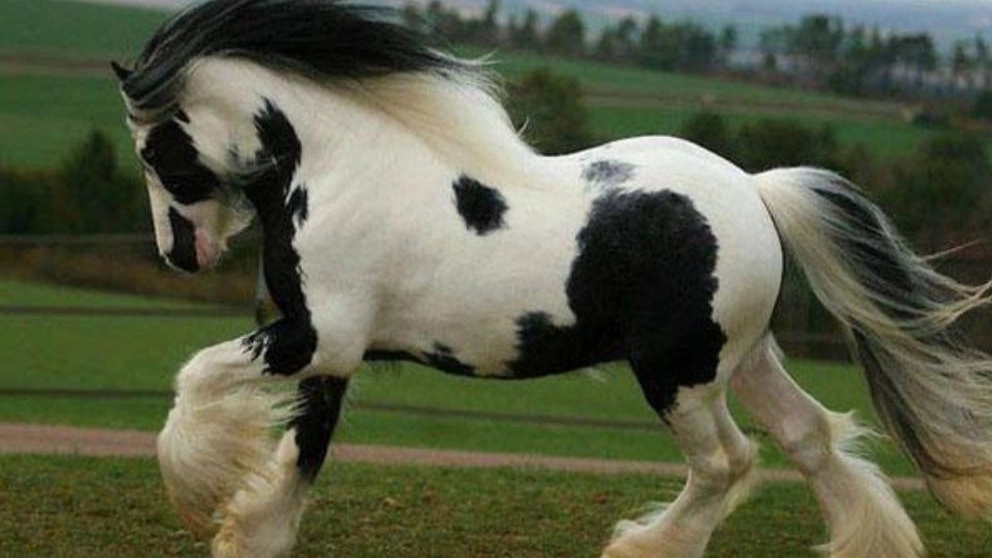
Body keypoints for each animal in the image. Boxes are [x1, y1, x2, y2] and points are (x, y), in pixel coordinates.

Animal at [114, 1, 992, 556]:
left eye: (154, 150)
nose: (179, 253)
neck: (339, 171)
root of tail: (755, 190)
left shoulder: (313, 337)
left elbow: (197, 379)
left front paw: (197, 490)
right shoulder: (333, 350)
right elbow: (303, 451)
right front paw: (251, 532)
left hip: (678, 373)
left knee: (728, 462)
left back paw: (643, 546)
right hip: (742, 358)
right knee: (809, 436)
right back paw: (869, 542)